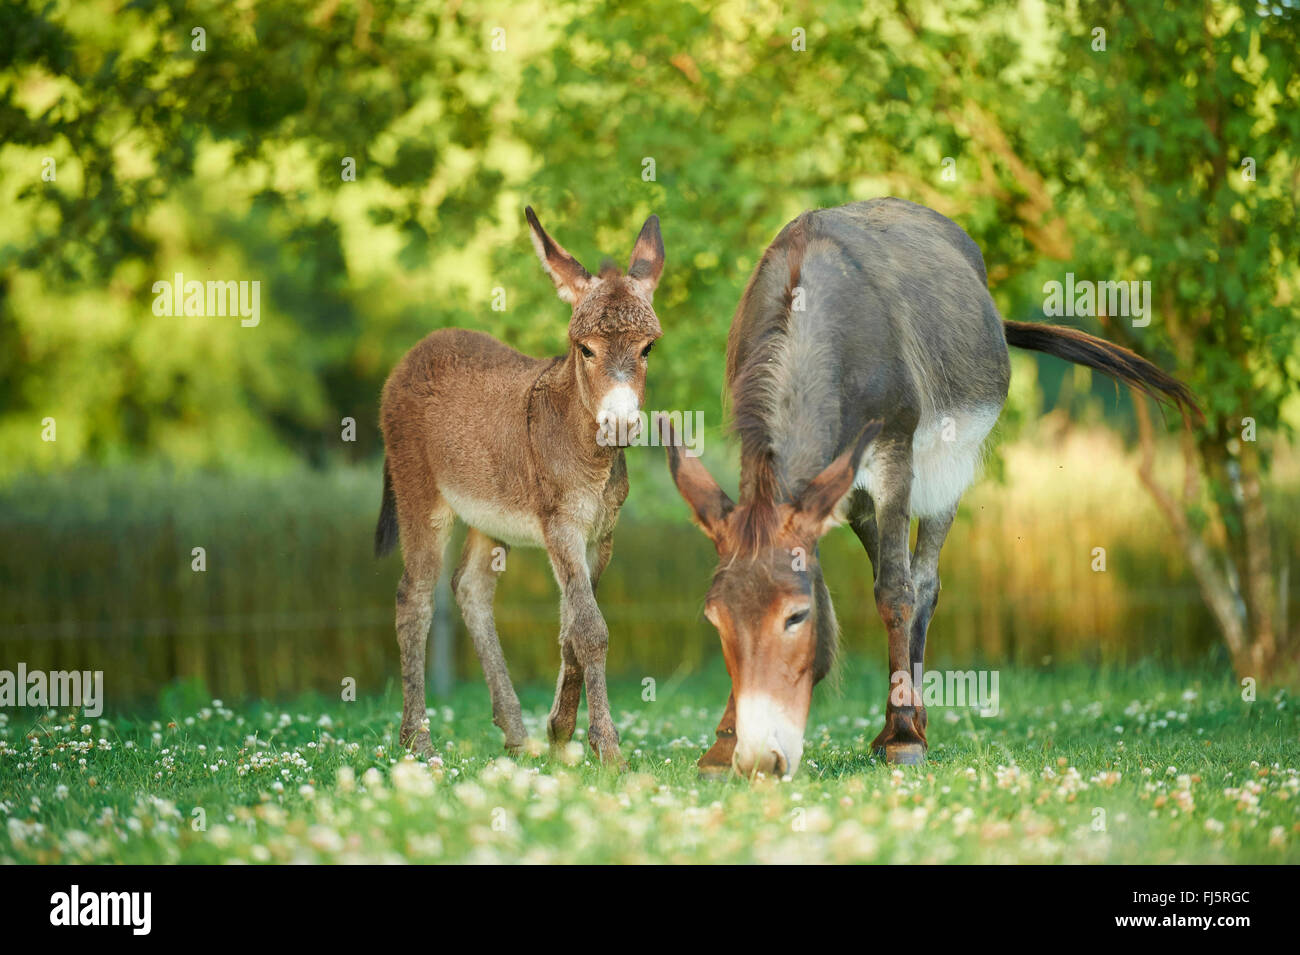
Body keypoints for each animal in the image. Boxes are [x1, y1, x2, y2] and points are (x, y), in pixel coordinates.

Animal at [374, 207, 660, 769]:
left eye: (647, 348)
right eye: (585, 349)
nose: (620, 424)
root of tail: (420, 349)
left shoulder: (600, 535)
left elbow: (572, 630)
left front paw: (560, 732)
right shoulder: (561, 527)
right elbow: (591, 630)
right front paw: (608, 749)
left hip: (489, 516)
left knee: (469, 590)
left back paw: (514, 733)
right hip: (421, 494)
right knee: (413, 598)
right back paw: (418, 740)